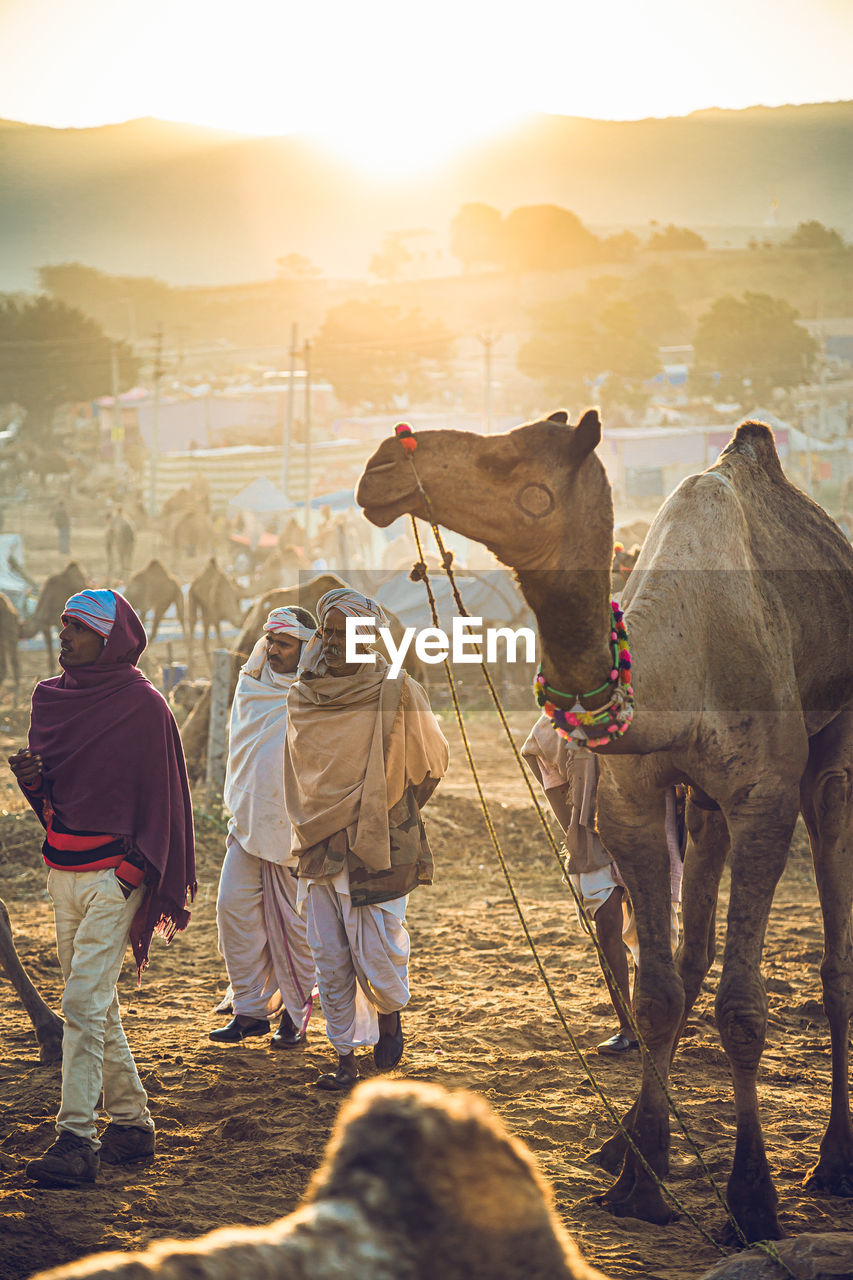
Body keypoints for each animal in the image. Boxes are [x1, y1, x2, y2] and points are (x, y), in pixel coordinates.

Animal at [356, 407, 850, 1239]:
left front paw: (751, 1200)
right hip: (702, 805)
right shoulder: (632, 801)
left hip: (825, 755)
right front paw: (638, 1179)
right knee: (690, 950)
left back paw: (834, 1161)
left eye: (505, 455)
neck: (675, 672)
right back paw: (627, 1140)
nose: (378, 468)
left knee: (831, 946)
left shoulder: (763, 798)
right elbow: (655, 993)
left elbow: (742, 1011)